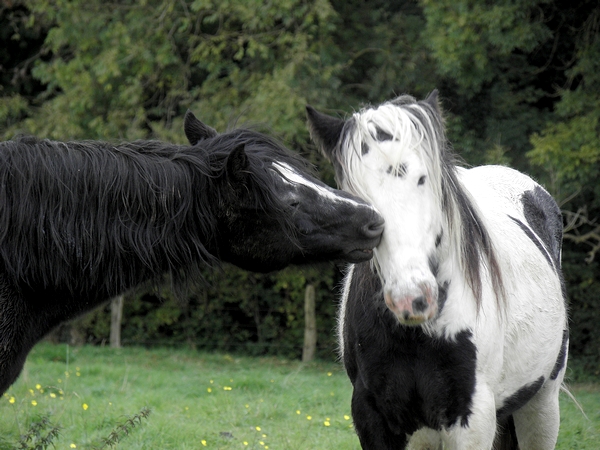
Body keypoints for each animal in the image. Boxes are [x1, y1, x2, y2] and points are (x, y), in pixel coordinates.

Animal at [310, 91, 568, 450]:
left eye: (423, 179)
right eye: (356, 194)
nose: (411, 298)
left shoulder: (472, 418)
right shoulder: (372, 416)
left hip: (542, 404)